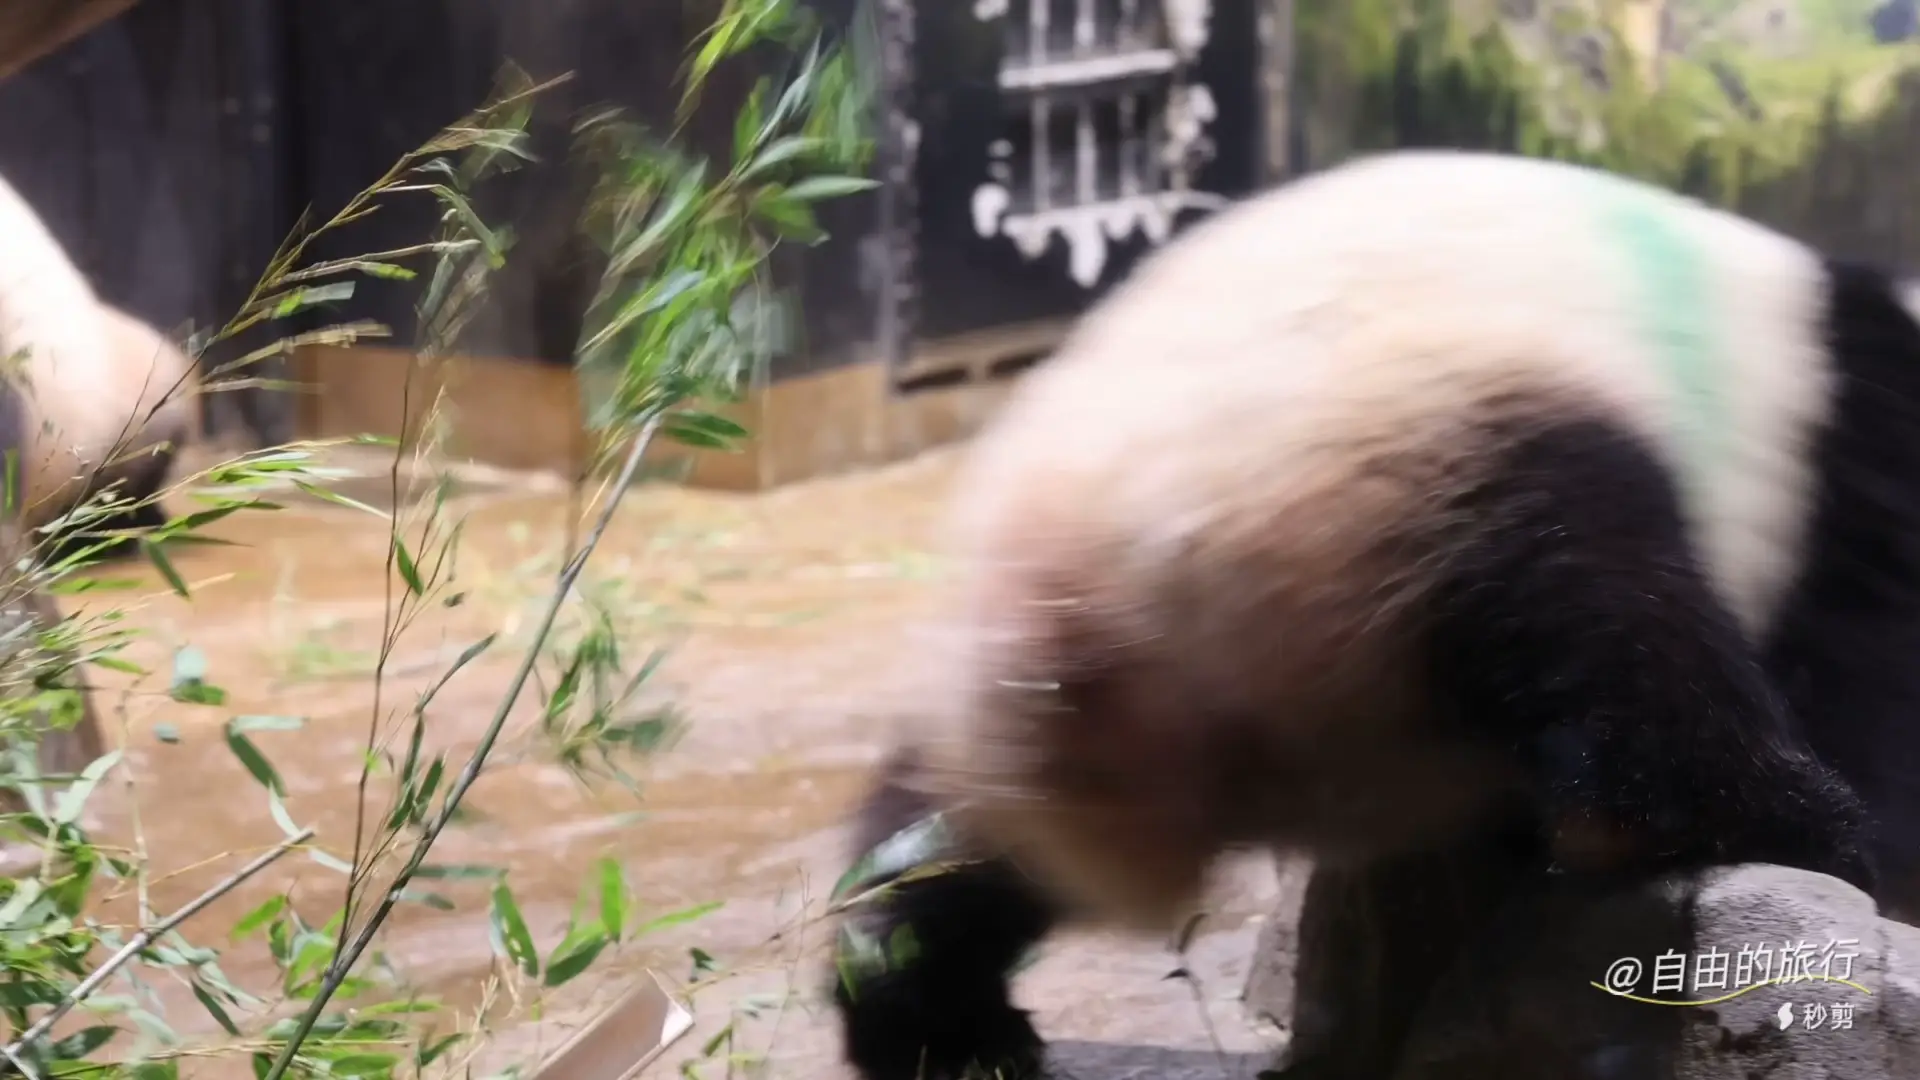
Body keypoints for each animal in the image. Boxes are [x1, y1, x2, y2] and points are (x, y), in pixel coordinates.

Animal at [833, 147, 1920, 1076]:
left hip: (1008, 684)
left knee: (939, 837)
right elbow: (1863, 683)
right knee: (1630, 656)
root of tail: (1104, 585)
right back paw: (1785, 828)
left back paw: (930, 1013)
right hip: (1417, 461)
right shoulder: (1852, 485)